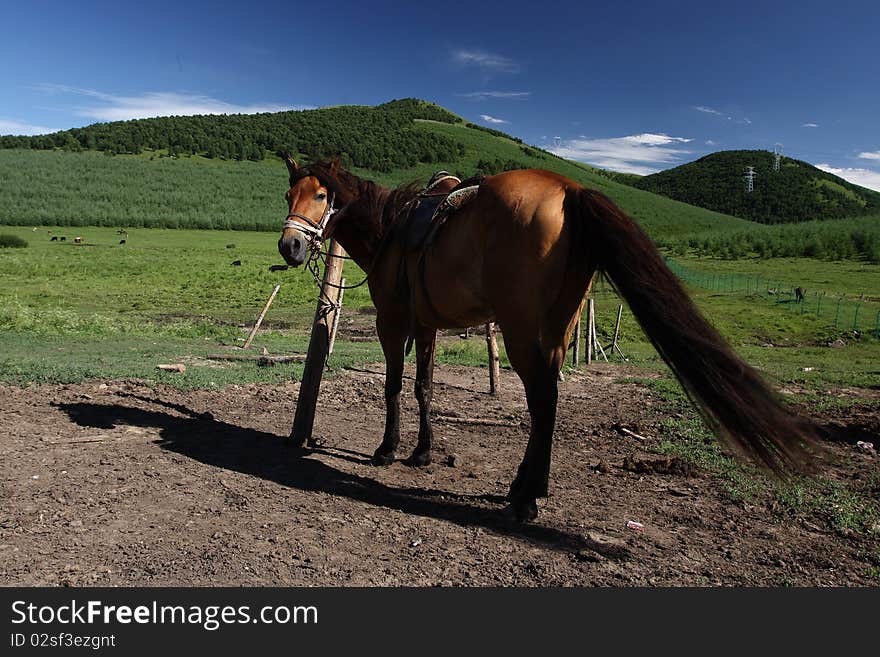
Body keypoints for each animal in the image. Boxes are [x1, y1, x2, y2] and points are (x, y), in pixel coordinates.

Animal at [276, 156, 820, 520]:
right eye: (287, 196)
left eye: (321, 196)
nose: (290, 246)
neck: (392, 231)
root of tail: (570, 190)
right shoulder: (426, 325)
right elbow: (424, 388)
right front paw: (423, 452)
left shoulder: (393, 322)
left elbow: (393, 387)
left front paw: (388, 450)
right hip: (558, 329)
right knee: (550, 402)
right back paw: (530, 487)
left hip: (520, 330)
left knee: (541, 399)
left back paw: (525, 498)